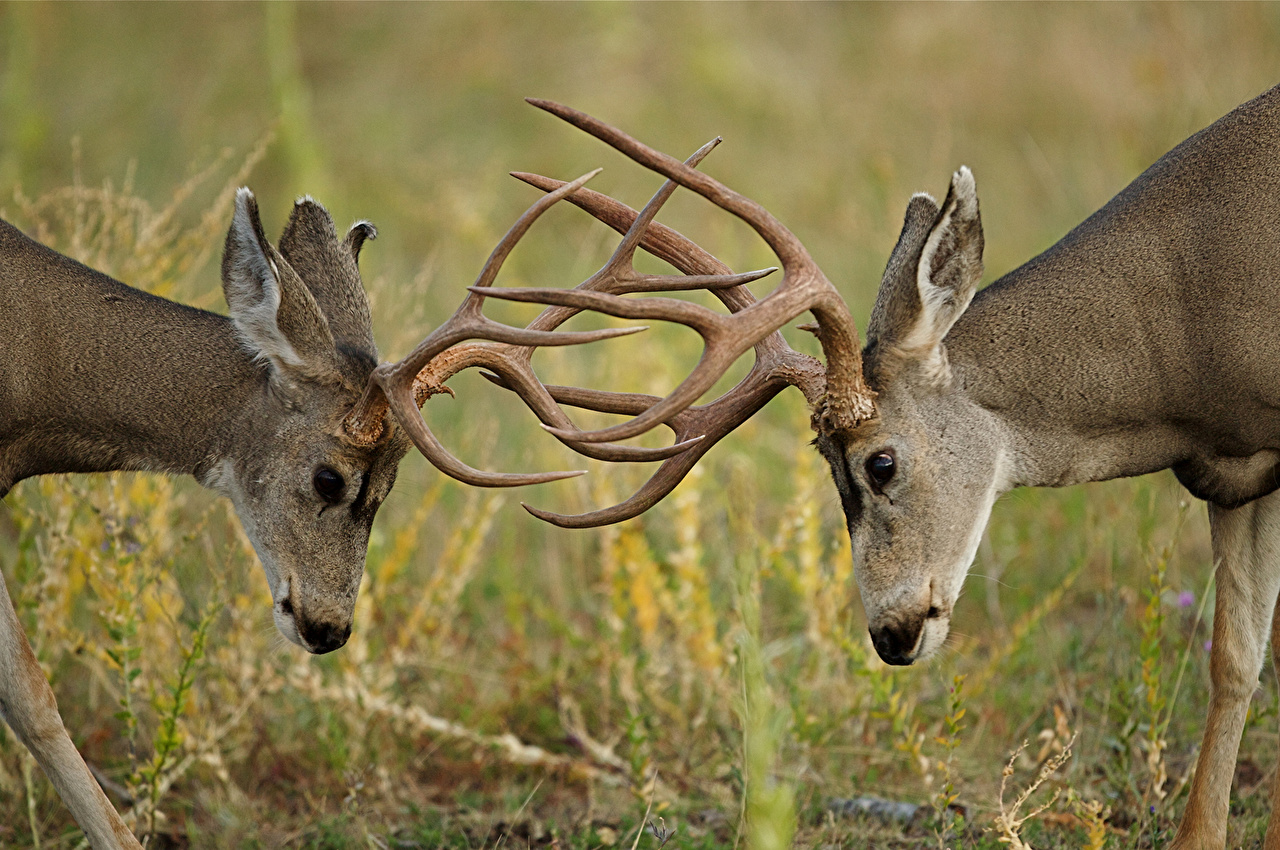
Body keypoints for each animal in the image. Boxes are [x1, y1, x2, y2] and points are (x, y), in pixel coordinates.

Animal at [348, 85, 1280, 849]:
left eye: (880, 462)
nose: (891, 634)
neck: (1185, 336)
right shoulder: (1238, 476)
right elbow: (1235, 657)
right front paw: (1200, 837)